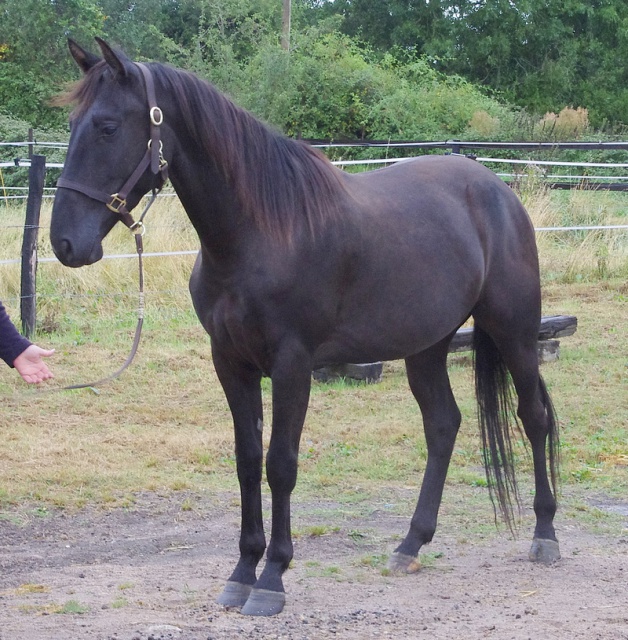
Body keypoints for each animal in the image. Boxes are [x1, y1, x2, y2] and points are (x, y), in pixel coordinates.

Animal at [52, 38, 560, 616]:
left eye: (108, 126)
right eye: (72, 123)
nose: (64, 243)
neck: (260, 234)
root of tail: (499, 191)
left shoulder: (292, 366)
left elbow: (280, 464)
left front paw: (272, 578)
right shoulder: (231, 363)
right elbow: (247, 461)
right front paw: (242, 572)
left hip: (513, 331)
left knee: (534, 417)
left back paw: (545, 536)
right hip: (426, 346)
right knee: (443, 426)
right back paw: (410, 544)